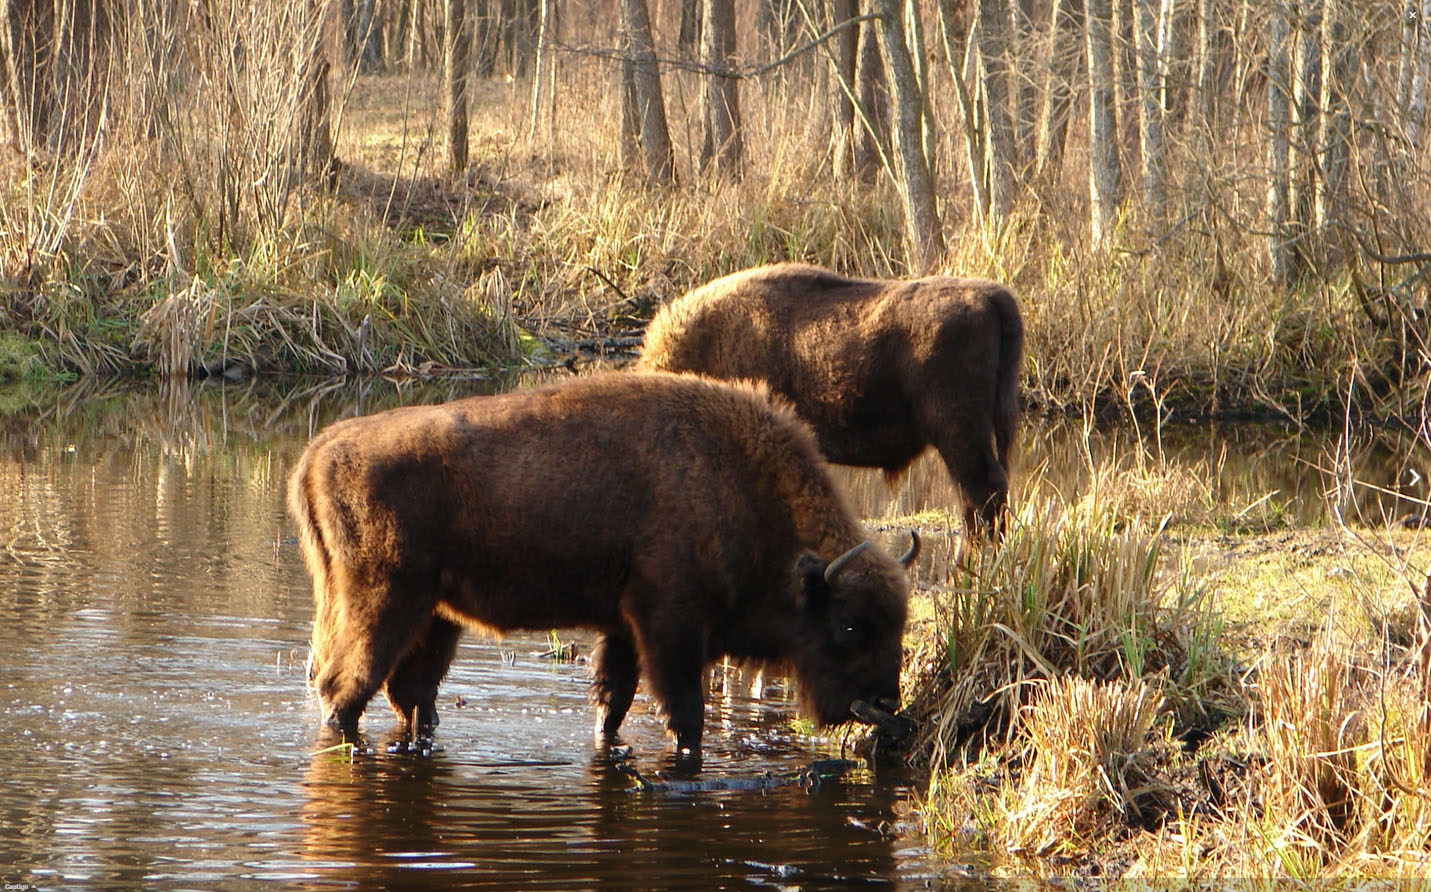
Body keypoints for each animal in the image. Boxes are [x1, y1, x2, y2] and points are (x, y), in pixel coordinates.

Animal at [287, 369, 915, 755]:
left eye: (900, 624)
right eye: (851, 624)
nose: (886, 702)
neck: (737, 481)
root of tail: (319, 452)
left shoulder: (623, 627)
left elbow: (612, 703)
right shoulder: (670, 627)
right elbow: (684, 713)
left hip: (435, 616)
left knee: (410, 693)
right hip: (381, 603)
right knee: (344, 688)